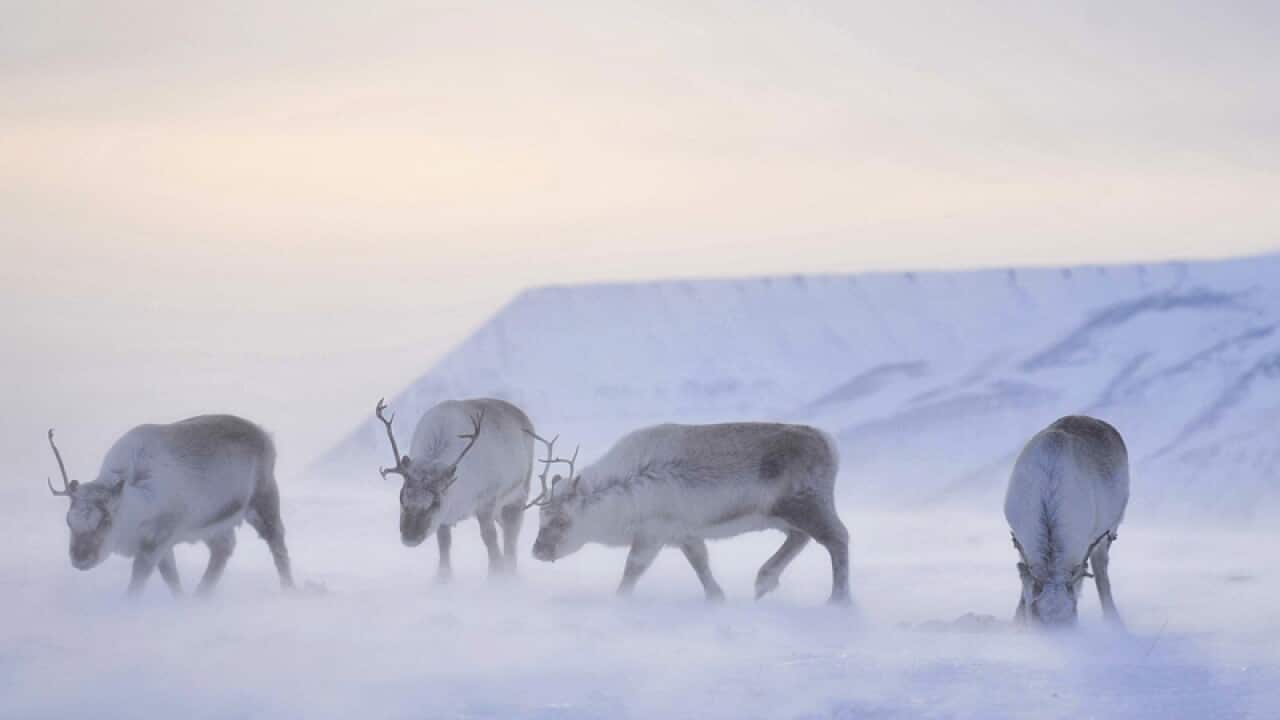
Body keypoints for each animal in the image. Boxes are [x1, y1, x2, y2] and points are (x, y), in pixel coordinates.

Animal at [44, 415, 294, 598]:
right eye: (69, 521)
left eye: (105, 520)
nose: (80, 558)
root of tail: (265, 435)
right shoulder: (163, 543)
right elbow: (171, 579)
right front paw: (180, 602)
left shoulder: (156, 542)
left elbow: (138, 582)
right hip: (213, 524)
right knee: (224, 548)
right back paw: (200, 596)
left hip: (263, 499)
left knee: (277, 542)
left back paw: (288, 589)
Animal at [374, 397, 534, 580]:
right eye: (401, 498)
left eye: (435, 502)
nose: (410, 538)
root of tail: (522, 414)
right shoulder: (444, 518)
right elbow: (444, 544)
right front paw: (443, 577)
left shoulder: (486, 501)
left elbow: (489, 538)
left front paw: (496, 574)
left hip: (518, 493)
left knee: (511, 534)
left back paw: (511, 570)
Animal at [528, 422, 851, 604]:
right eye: (540, 519)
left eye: (562, 520)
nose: (537, 551)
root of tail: (831, 445)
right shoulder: (684, 532)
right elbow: (700, 564)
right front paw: (717, 598)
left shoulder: (653, 531)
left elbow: (633, 568)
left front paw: (620, 600)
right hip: (782, 514)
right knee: (800, 538)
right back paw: (764, 581)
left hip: (806, 504)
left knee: (838, 538)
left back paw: (838, 600)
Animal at [1004, 415, 1129, 628]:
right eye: (1037, 620)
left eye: (1071, 620)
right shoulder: (1019, 538)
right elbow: (1025, 585)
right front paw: (1017, 622)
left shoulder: (1083, 546)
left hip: (1110, 529)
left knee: (1101, 569)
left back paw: (1113, 619)